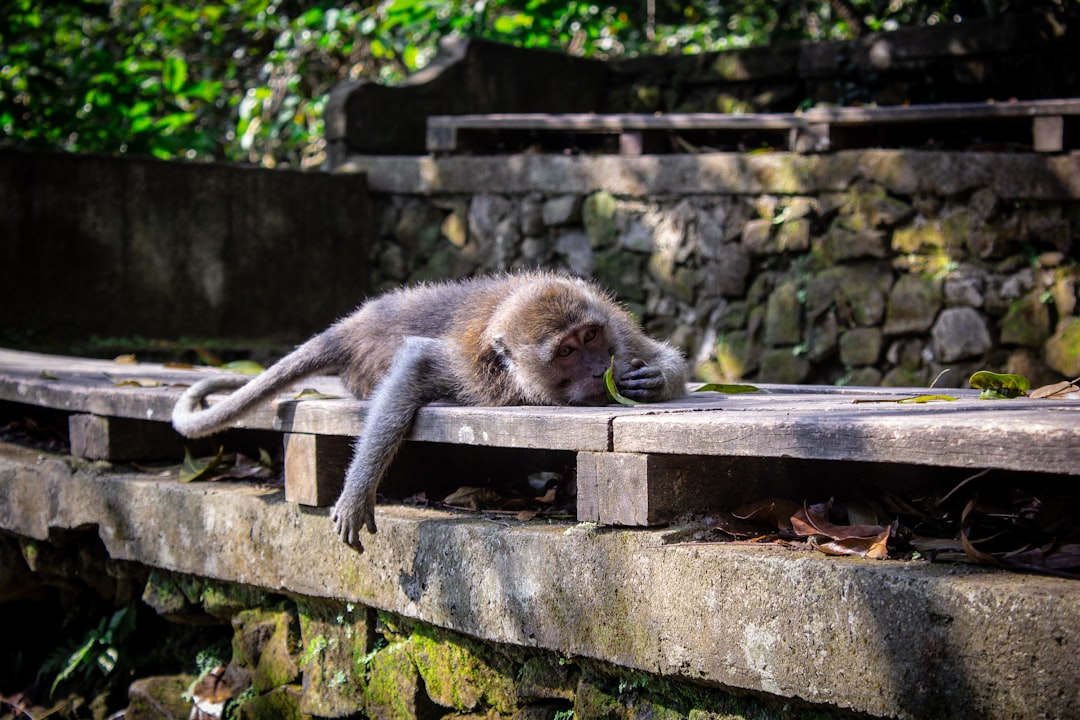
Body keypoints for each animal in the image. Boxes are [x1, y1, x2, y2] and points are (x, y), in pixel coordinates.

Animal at [172, 273, 686, 548]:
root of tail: (349, 326)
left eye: (591, 337)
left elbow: (664, 356)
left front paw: (653, 379)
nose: (600, 368)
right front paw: (358, 492)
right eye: (566, 352)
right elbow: (417, 362)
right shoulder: (478, 374)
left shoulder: (619, 329)